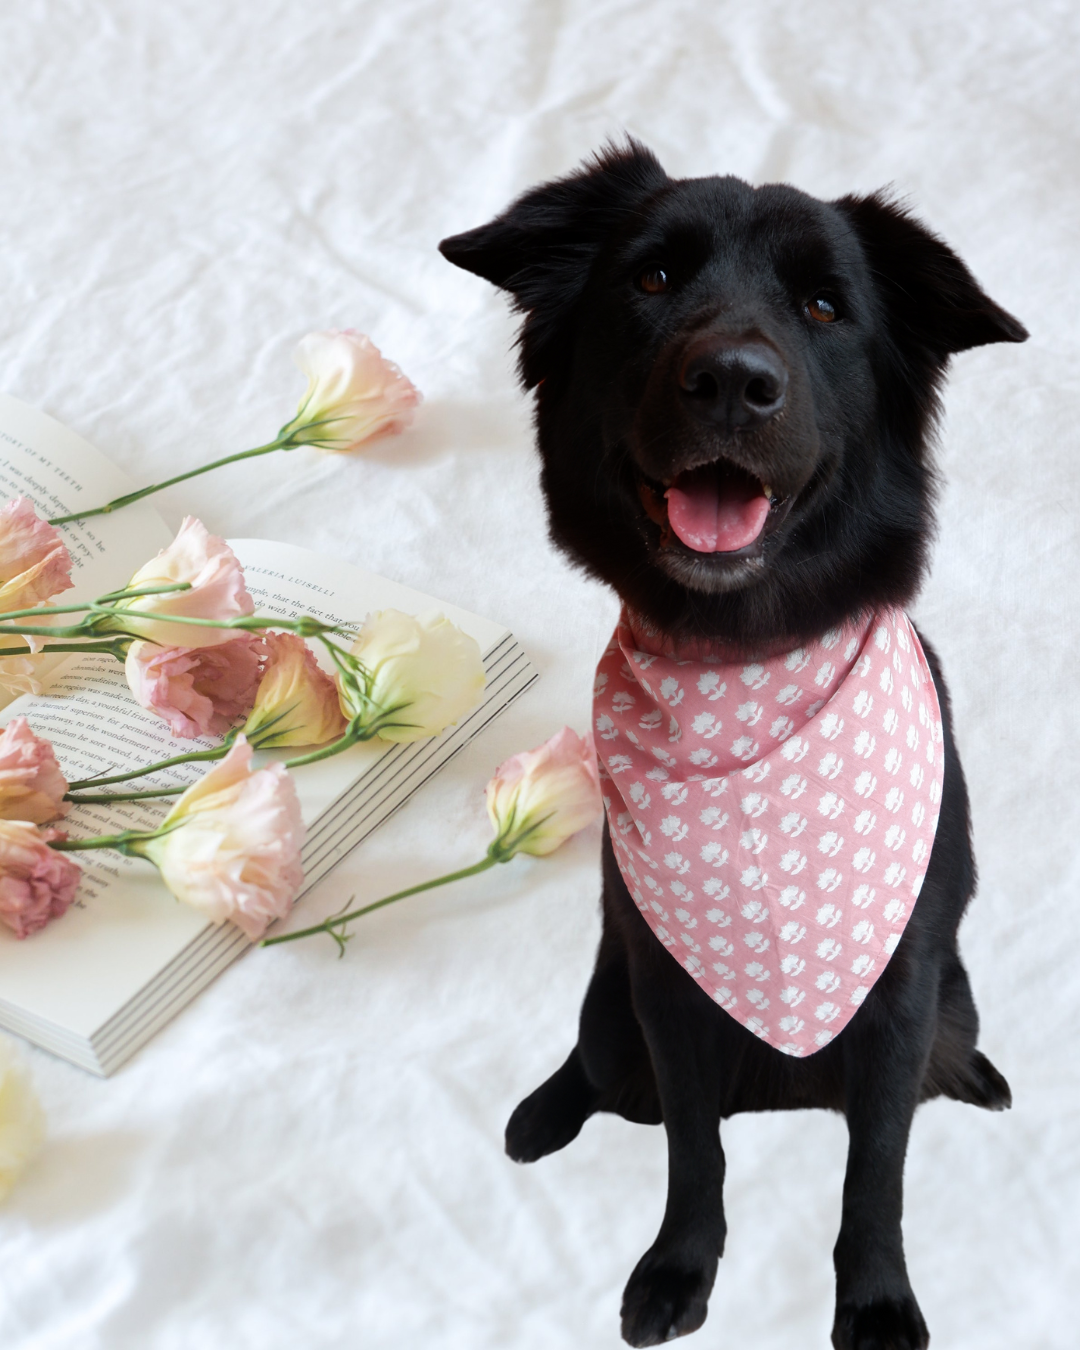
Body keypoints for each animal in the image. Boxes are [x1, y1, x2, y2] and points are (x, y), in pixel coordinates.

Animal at [437, 142, 1020, 1344]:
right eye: (652, 280)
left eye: (824, 306)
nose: (734, 381)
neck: (744, 671)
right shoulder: (664, 989)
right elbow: (694, 1151)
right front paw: (679, 1266)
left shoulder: (902, 990)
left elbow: (876, 1168)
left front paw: (876, 1295)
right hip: (610, 1006)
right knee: (596, 1066)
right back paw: (542, 1112)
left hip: (955, 995)